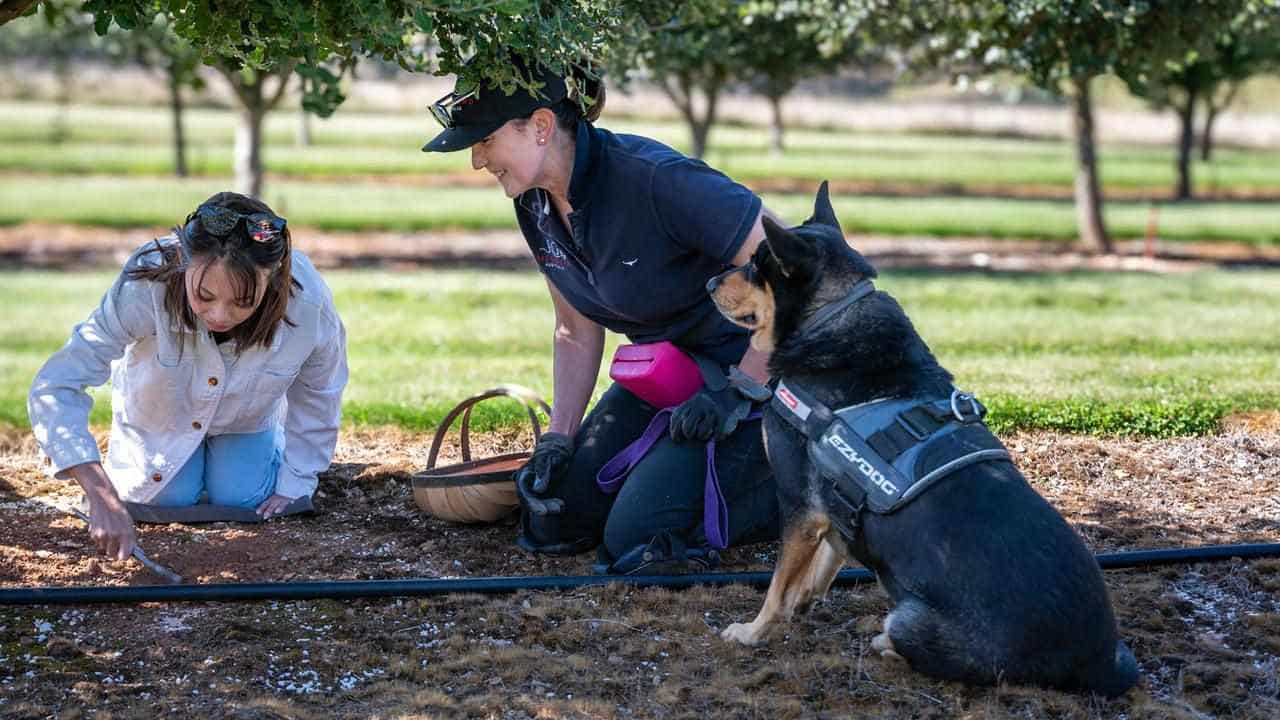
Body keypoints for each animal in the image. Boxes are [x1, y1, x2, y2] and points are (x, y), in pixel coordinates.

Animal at [711, 181, 1141, 691]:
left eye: (758, 266)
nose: (709, 283)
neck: (829, 317)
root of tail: (1099, 663)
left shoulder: (799, 502)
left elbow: (777, 586)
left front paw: (753, 631)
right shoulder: (832, 511)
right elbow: (821, 566)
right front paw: (800, 606)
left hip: (907, 617)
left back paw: (885, 645)